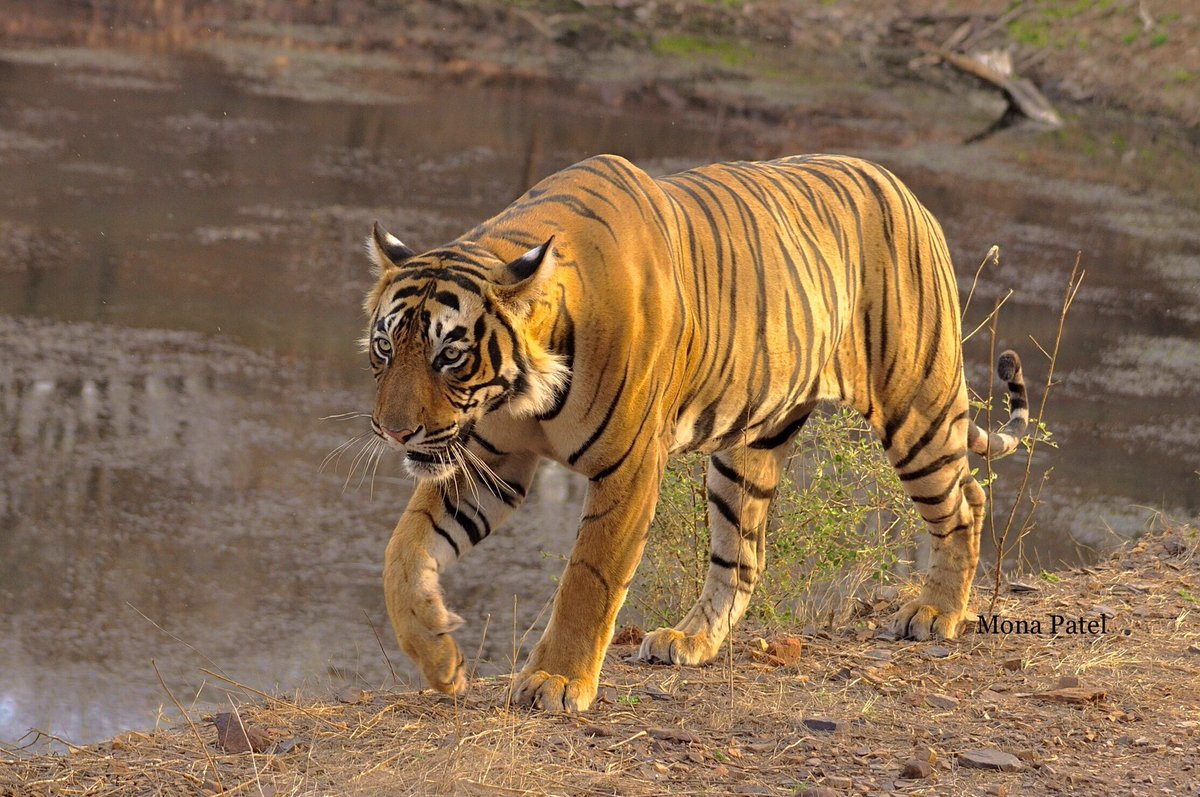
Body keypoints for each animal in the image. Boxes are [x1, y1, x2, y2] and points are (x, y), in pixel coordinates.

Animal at [360, 152, 1027, 710]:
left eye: (450, 355)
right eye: (386, 346)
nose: (394, 433)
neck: (525, 394)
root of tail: (903, 188)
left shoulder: (628, 468)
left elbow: (588, 580)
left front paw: (556, 681)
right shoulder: (490, 461)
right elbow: (402, 553)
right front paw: (440, 659)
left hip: (916, 407)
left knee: (966, 500)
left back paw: (936, 613)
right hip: (747, 452)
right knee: (744, 555)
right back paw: (690, 641)